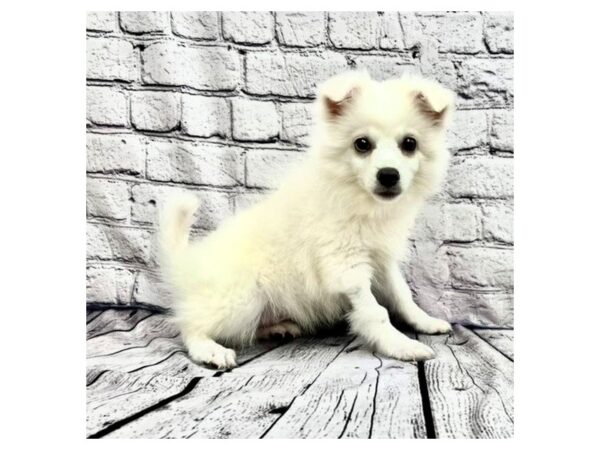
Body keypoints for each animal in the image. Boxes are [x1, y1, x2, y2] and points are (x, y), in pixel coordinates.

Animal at [159, 69, 454, 366]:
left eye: (409, 144)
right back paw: (210, 350)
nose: (389, 175)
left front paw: (425, 321)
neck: (360, 201)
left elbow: (402, 294)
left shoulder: (382, 260)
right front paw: (401, 345)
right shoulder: (346, 265)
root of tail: (187, 263)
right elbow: (376, 312)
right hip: (240, 299)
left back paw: (278, 327)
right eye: (362, 144)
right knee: (189, 324)